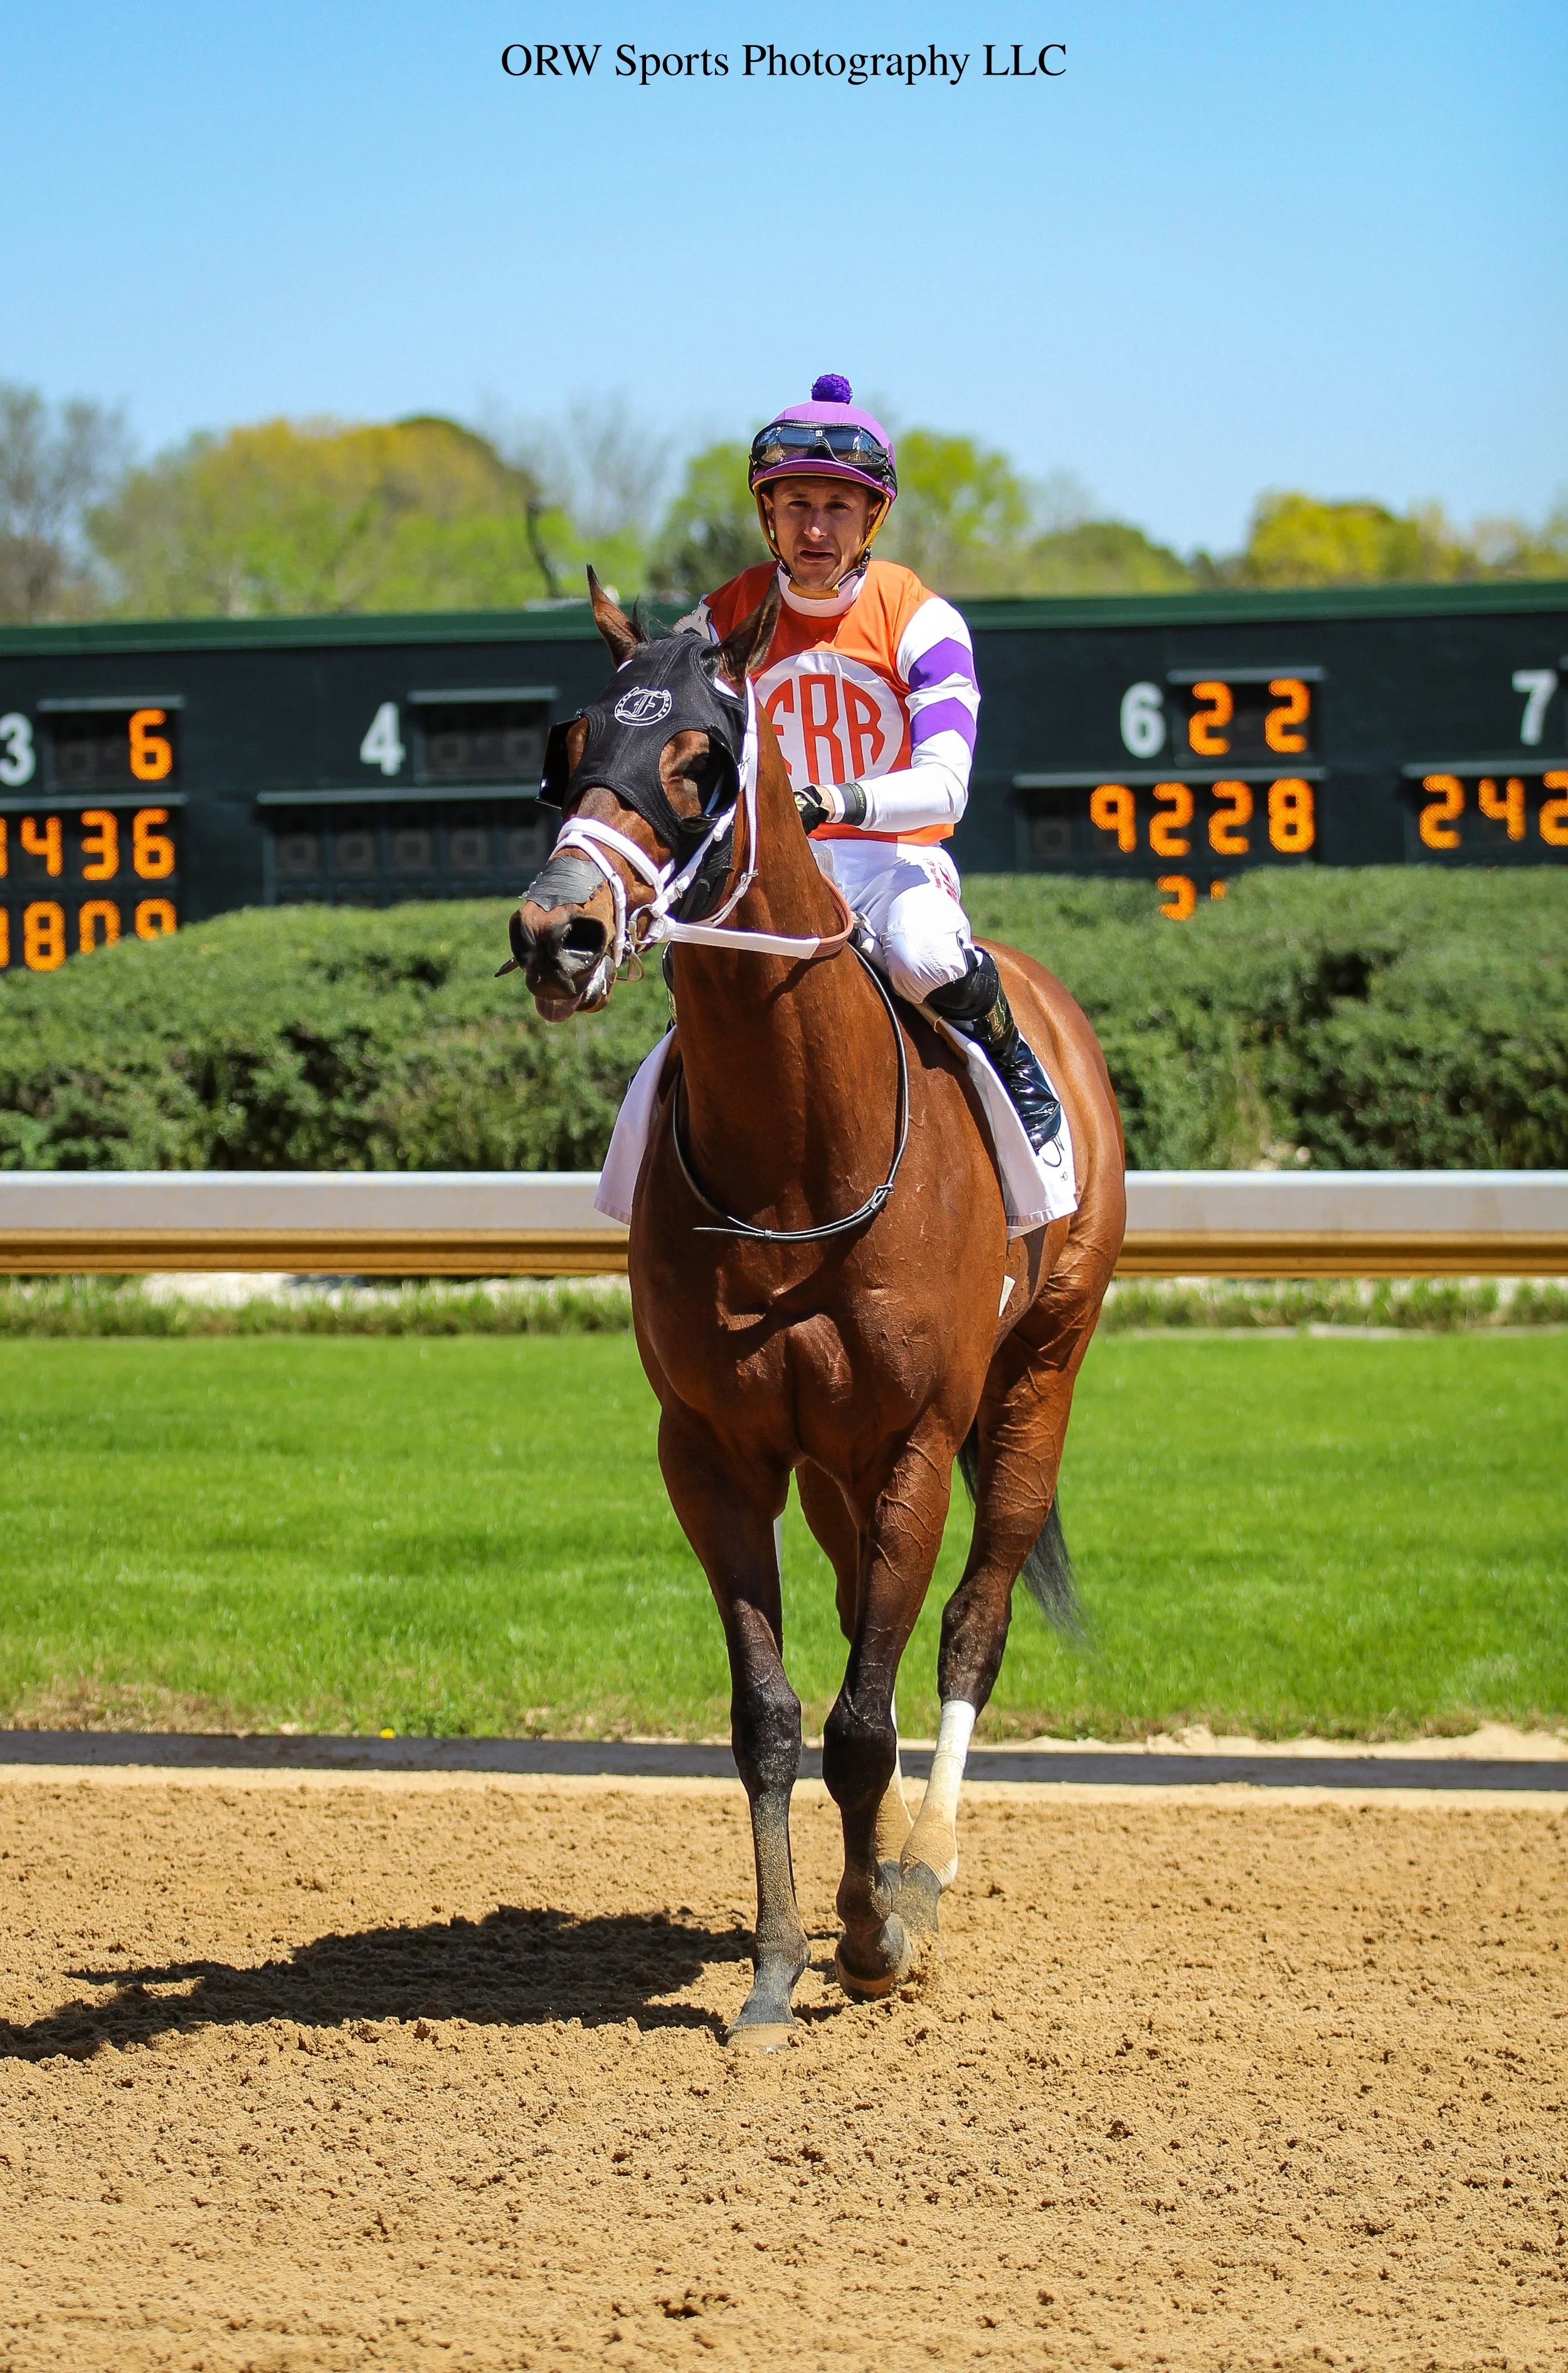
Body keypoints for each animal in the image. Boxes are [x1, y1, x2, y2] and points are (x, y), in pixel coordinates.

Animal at [507, 573, 1126, 2047]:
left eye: (697, 759)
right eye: (567, 749)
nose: (555, 930)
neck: (794, 1157)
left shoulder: (912, 1441)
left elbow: (862, 1715)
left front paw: (877, 1933)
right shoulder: (714, 1449)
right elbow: (777, 1715)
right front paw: (786, 1960)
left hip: (1039, 1374)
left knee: (970, 1623)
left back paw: (925, 1868)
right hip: (840, 1464)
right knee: (865, 1630)